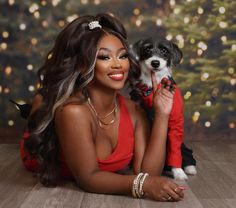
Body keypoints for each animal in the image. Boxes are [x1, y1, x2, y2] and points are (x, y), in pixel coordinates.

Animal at [130, 36, 196, 180]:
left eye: (164, 51)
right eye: (147, 49)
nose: (155, 62)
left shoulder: (176, 122)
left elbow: (175, 149)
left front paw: (178, 172)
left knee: (186, 151)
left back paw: (190, 167)